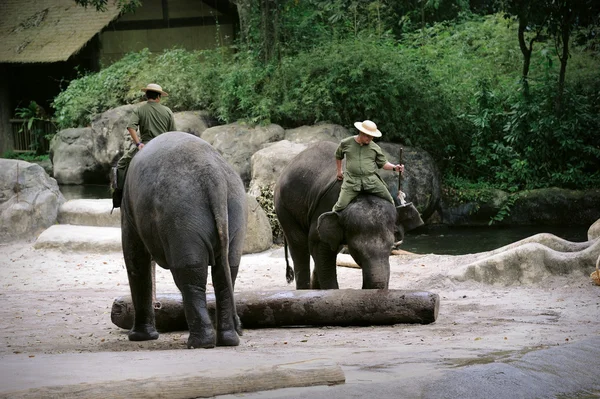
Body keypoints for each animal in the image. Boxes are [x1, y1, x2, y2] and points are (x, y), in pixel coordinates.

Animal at [121, 132, 246, 350]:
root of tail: (215, 179)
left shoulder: (129, 208)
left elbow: (135, 259)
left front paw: (139, 337)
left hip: (182, 217)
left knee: (189, 274)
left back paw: (199, 344)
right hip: (235, 210)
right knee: (227, 272)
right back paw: (228, 340)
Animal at [274, 142, 424, 290]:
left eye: (390, 248)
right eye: (356, 251)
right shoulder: (325, 207)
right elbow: (319, 245)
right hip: (284, 208)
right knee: (299, 246)